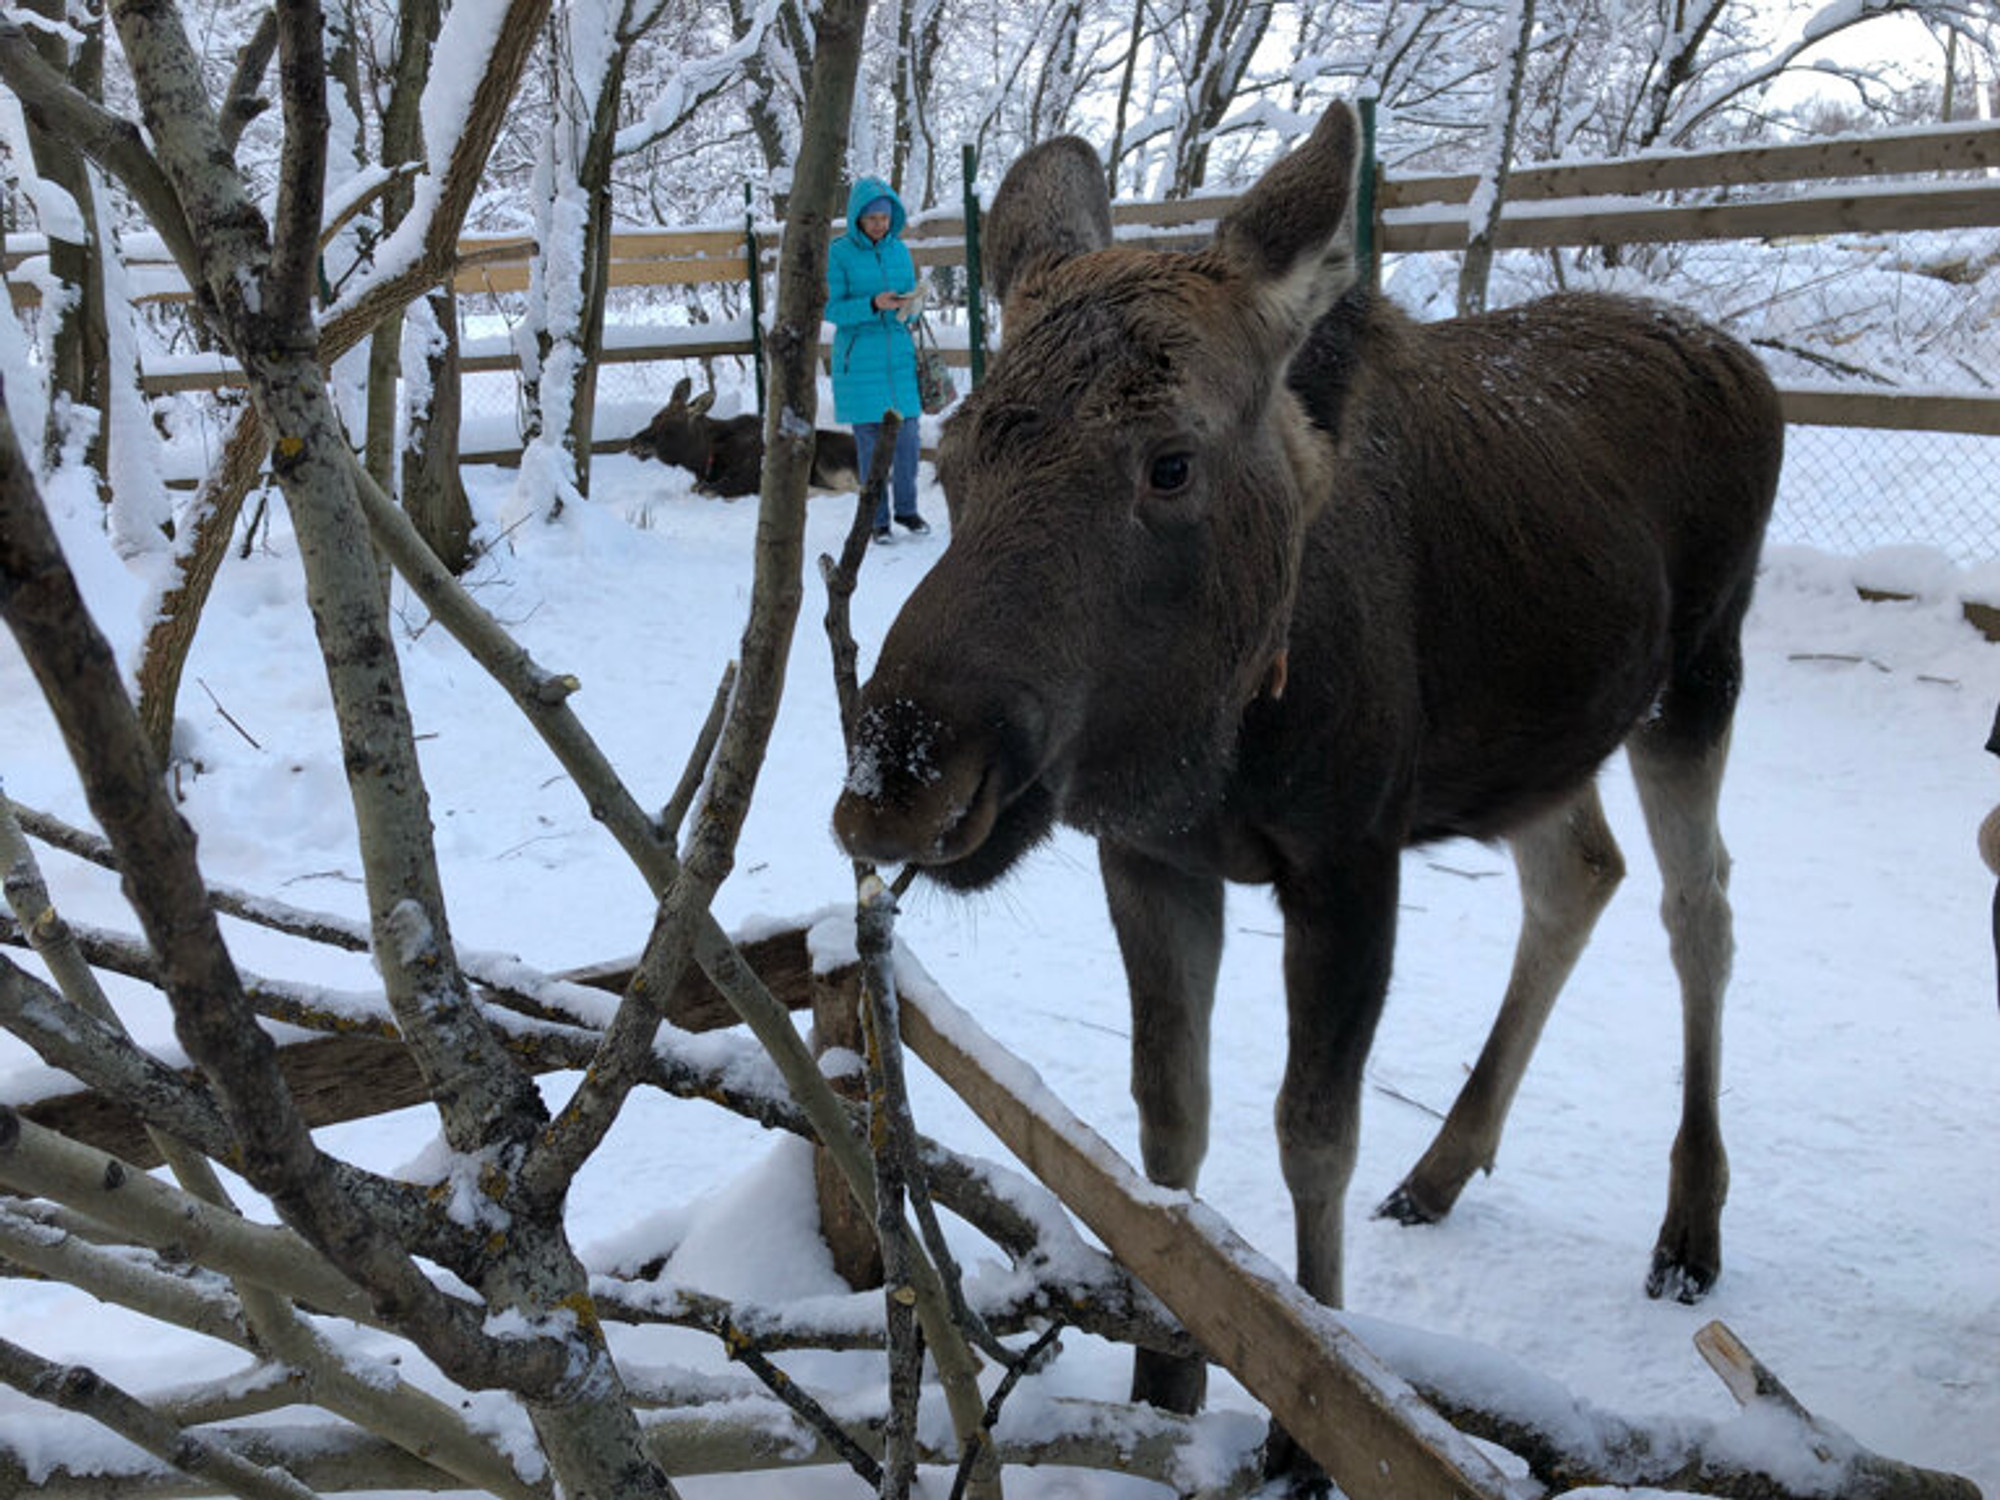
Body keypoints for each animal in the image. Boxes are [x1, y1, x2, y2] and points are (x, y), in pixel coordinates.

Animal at [624, 376, 860, 500]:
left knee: (849, 491)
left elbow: (706, 490)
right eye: (654, 417)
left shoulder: (746, 478)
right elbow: (696, 488)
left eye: (668, 426)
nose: (634, 442)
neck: (703, 459)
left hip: (830, 463)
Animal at [828, 97, 1784, 1424]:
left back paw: (1689, 1222)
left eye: (1170, 461)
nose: (903, 777)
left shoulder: (1347, 853)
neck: (1228, 733)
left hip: (1698, 668)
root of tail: (1746, 363)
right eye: (955, 453)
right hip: (1542, 732)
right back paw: (1442, 1166)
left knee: (1701, 908)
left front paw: (1304, 1415)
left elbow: (1311, 1134)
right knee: (1577, 874)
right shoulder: (1151, 853)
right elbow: (1166, 1123)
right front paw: (1165, 1384)